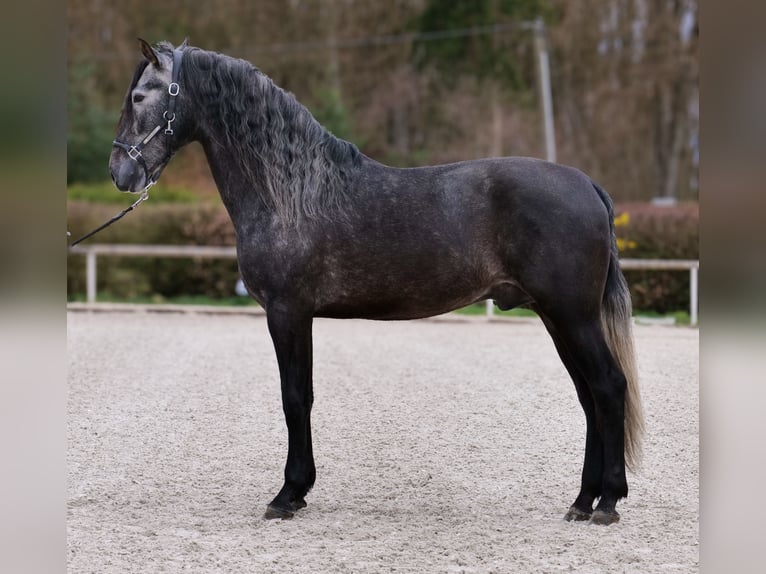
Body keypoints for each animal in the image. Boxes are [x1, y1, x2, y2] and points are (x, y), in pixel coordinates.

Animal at [109, 39, 644, 525]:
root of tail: (587, 185)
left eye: (138, 96)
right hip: (558, 319)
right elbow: (302, 395)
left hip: (573, 317)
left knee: (608, 386)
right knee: (589, 397)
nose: (120, 172)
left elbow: (294, 398)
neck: (292, 192)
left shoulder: (287, 312)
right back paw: (582, 501)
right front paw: (299, 491)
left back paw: (608, 502)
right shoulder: (297, 315)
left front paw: (287, 495)